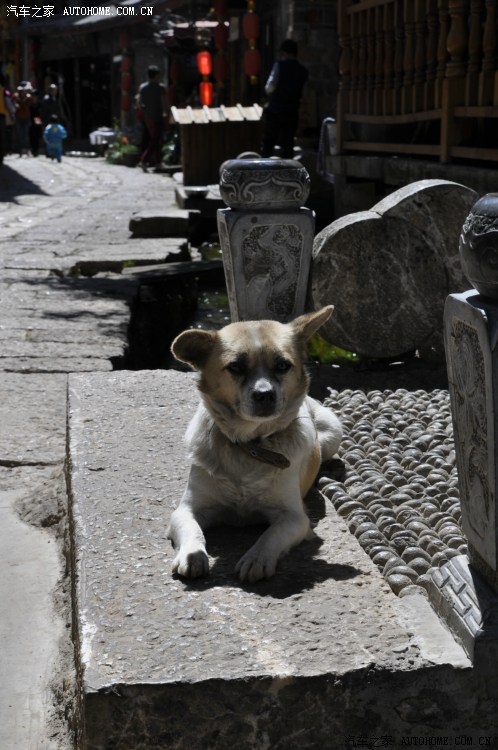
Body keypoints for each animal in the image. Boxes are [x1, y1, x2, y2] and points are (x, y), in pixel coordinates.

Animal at [168, 305, 342, 583]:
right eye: (236, 367)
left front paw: (256, 558)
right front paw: (193, 555)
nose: (264, 394)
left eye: (282, 366)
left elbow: (270, 535)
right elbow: (192, 528)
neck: (250, 444)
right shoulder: (187, 509)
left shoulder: (294, 518)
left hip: (333, 431)